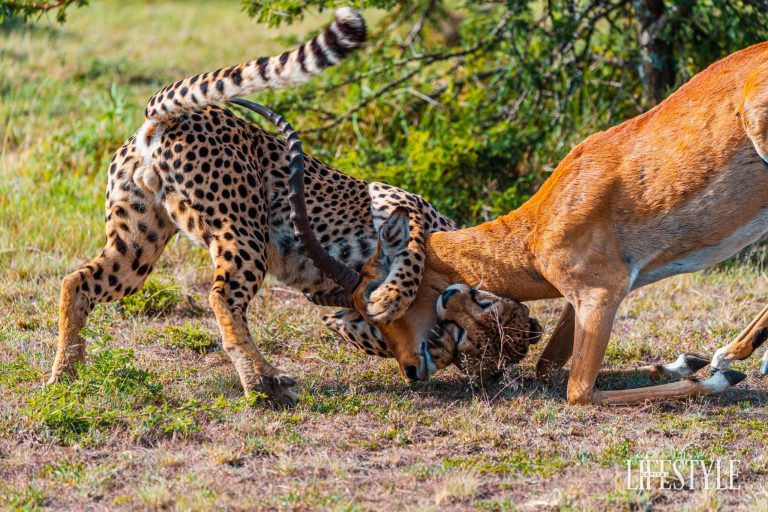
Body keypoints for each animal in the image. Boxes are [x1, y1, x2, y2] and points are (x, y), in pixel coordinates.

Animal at [52, 6, 456, 402]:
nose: (415, 370)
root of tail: (170, 117)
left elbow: (355, 321)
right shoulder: (392, 196)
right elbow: (413, 252)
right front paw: (394, 300)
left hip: (137, 246)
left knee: (78, 282)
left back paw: (65, 377)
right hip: (244, 232)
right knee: (223, 298)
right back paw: (263, 381)